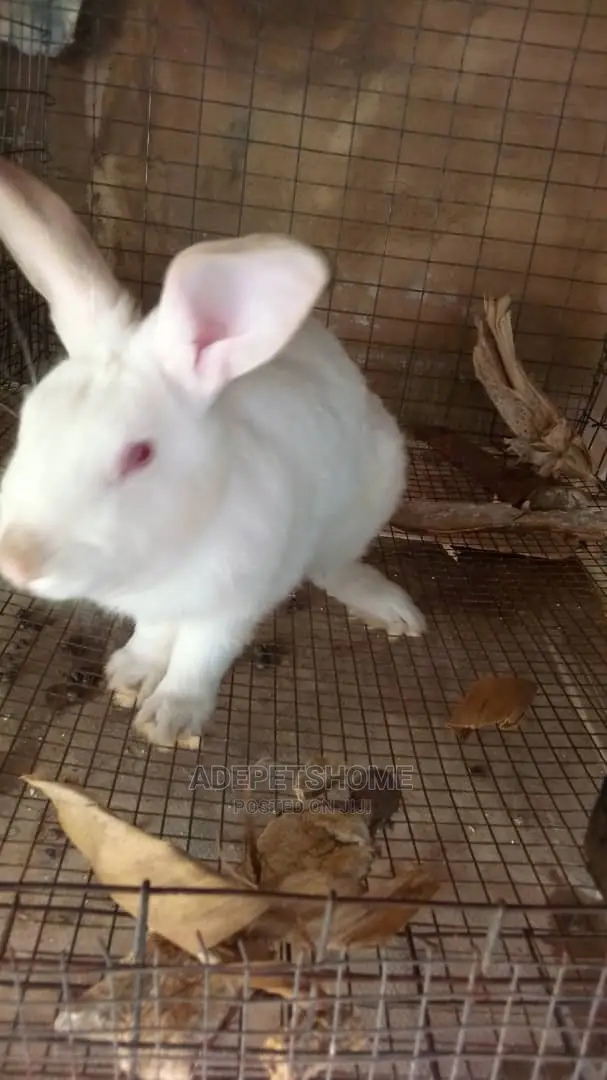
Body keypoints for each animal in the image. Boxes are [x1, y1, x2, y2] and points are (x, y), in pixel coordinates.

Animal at [0, 159, 426, 747]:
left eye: (139, 454)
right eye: (30, 420)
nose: (16, 562)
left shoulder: (233, 604)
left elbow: (200, 658)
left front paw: (170, 718)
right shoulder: (154, 607)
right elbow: (153, 635)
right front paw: (130, 674)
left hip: (370, 495)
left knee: (333, 566)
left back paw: (389, 609)